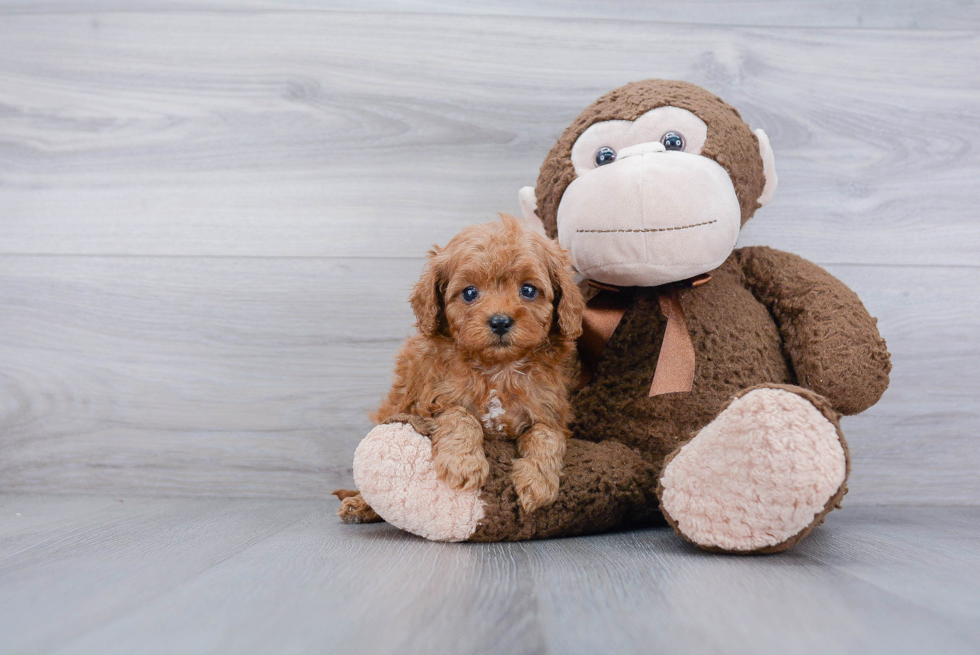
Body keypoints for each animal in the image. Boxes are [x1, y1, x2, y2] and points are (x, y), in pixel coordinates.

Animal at [336, 215, 580, 524]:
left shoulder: (550, 413)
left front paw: (538, 482)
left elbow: (546, 437)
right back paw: (360, 506)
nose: (500, 321)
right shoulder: (429, 403)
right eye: (469, 293)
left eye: (528, 290)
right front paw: (463, 464)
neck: (498, 369)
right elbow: (460, 416)